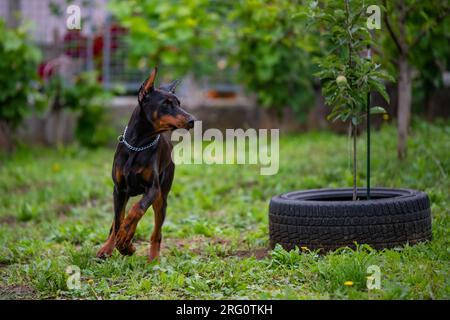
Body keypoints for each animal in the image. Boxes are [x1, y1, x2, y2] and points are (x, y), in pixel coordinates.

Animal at [96, 67, 195, 262]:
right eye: (166, 104)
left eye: (179, 103)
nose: (192, 120)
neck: (139, 144)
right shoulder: (119, 189)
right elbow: (118, 221)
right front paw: (120, 246)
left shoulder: (153, 189)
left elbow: (137, 209)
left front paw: (126, 242)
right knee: (116, 220)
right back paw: (109, 246)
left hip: (161, 198)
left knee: (156, 231)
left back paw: (153, 258)